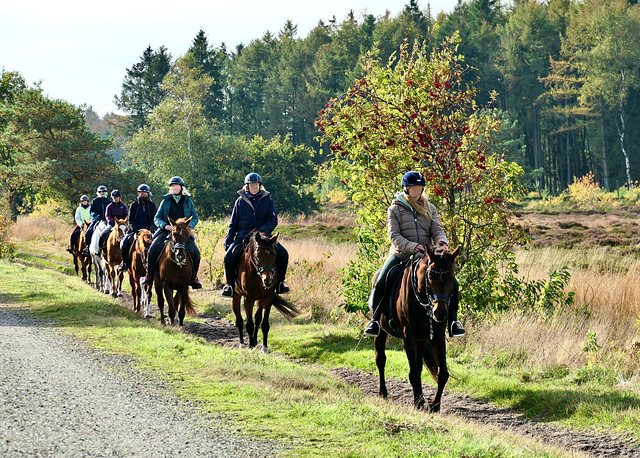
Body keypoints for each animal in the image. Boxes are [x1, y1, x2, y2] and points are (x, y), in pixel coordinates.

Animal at [376, 245, 460, 414]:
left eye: (451, 278)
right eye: (430, 277)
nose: (439, 313)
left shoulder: (437, 336)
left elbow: (442, 374)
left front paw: (434, 405)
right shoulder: (409, 337)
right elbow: (413, 372)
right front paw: (419, 403)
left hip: (422, 340)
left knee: (419, 365)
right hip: (381, 332)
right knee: (380, 359)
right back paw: (383, 392)